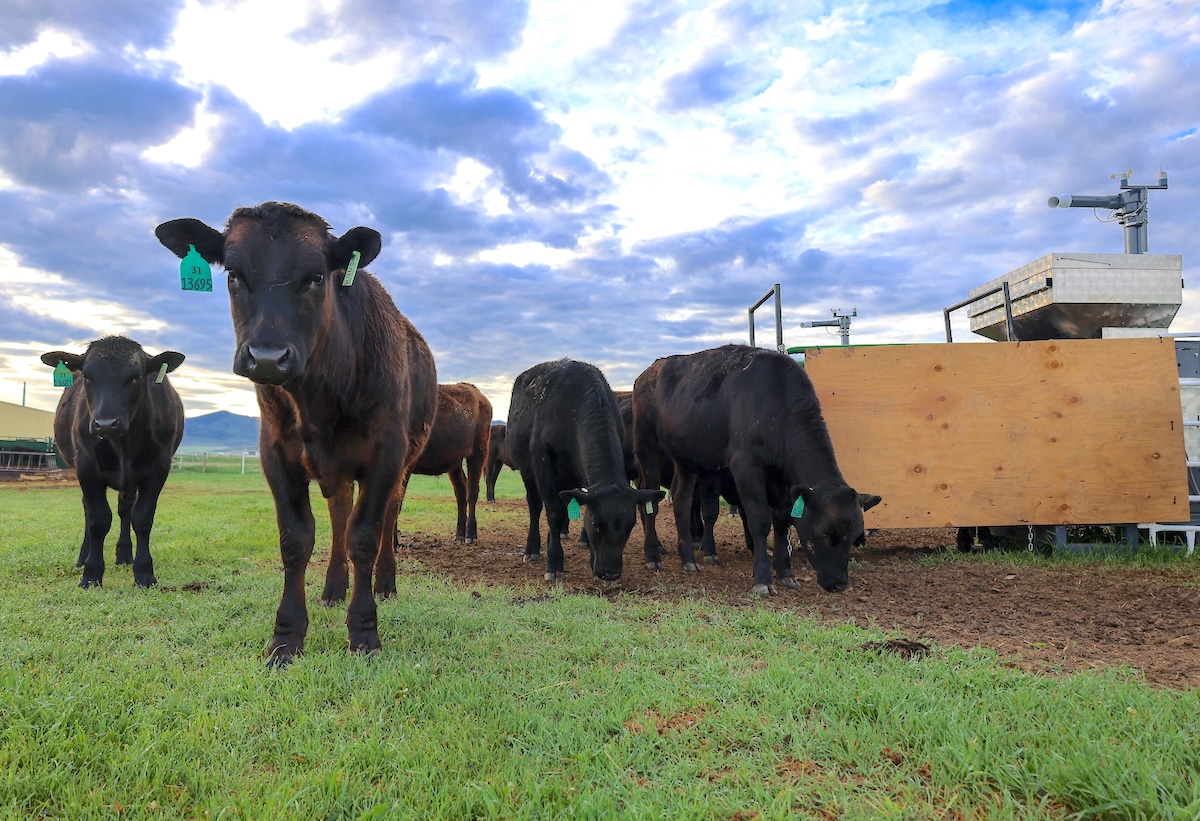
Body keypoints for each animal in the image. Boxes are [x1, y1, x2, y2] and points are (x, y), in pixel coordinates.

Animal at [154, 200, 436, 667]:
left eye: (317, 276)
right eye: (232, 274)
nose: (268, 356)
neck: (319, 399)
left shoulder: (386, 456)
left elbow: (365, 537)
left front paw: (364, 633)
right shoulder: (276, 456)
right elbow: (296, 540)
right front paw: (286, 638)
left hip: (405, 462)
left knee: (386, 517)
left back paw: (384, 583)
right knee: (339, 514)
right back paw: (334, 587)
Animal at [506, 360, 667, 583]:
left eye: (629, 526)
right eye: (596, 524)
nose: (610, 573)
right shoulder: (543, 464)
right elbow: (554, 513)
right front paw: (554, 564)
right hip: (527, 471)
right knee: (535, 506)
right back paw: (533, 549)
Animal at [638, 343, 873, 592]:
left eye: (855, 536)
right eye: (825, 531)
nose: (839, 583)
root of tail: (650, 371)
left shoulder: (780, 477)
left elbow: (783, 519)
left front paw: (785, 573)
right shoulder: (745, 466)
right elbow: (760, 520)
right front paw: (763, 577)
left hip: (686, 459)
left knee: (681, 500)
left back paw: (688, 560)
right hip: (647, 447)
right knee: (651, 500)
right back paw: (653, 555)